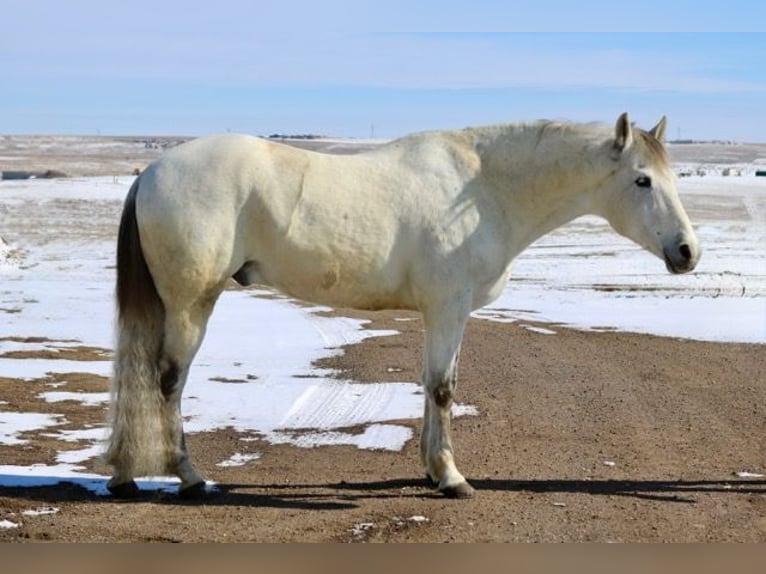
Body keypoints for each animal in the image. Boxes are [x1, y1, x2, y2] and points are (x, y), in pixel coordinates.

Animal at [106, 112, 704, 500]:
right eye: (642, 180)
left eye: (672, 177)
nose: (687, 251)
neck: (484, 188)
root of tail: (151, 173)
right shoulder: (447, 308)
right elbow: (442, 388)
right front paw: (452, 478)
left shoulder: (443, 314)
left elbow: (434, 384)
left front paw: (431, 471)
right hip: (192, 304)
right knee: (168, 380)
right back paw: (189, 477)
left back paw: (124, 475)